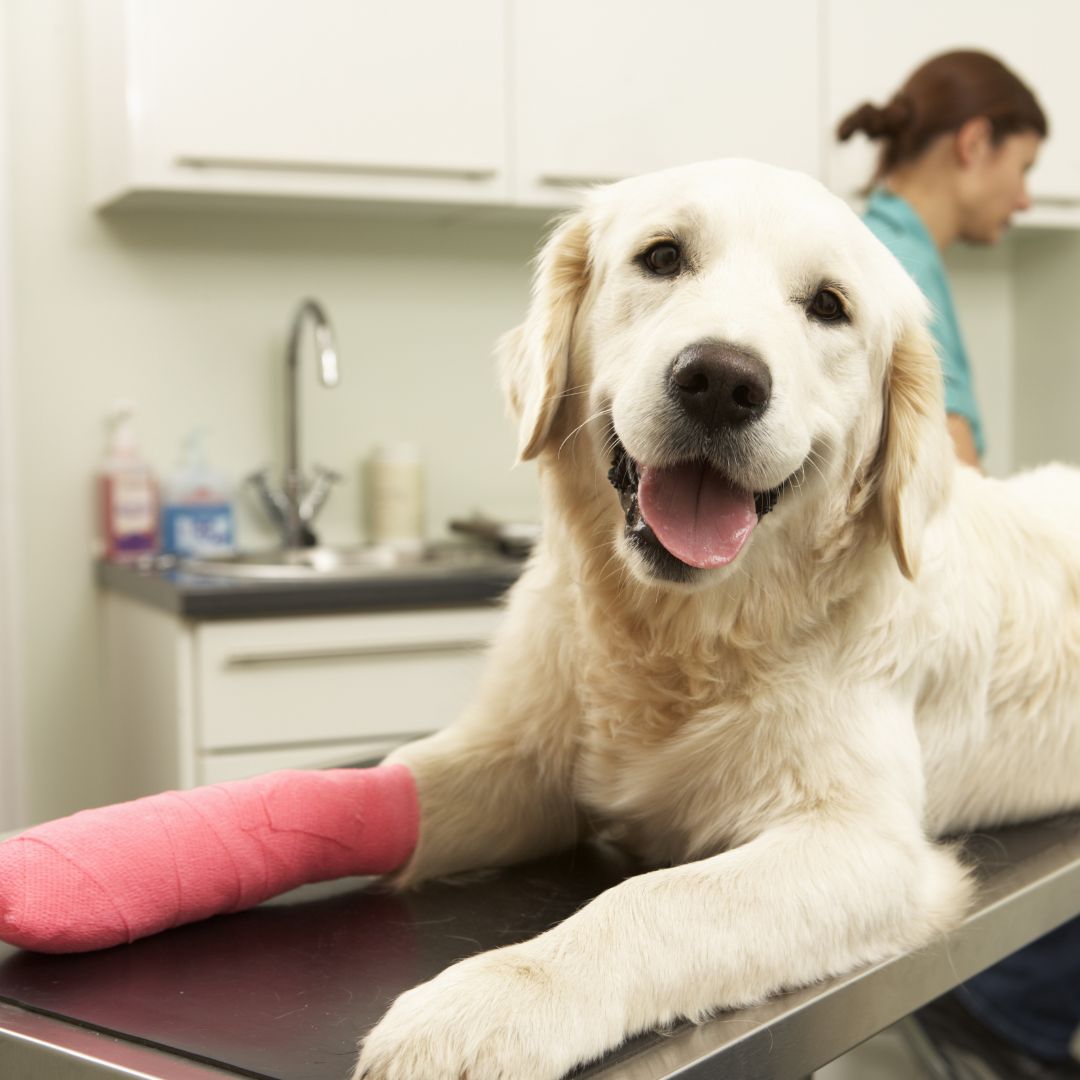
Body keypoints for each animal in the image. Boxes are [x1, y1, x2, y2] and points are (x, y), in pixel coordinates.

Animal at [352, 159, 1080, 1080]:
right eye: (662, 256)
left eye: (830, 305)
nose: (723, 381)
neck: (682, 633)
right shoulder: (519, 760)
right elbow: (400, 783)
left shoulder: (863, 844)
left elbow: (655, 900)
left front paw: (486, 1004)